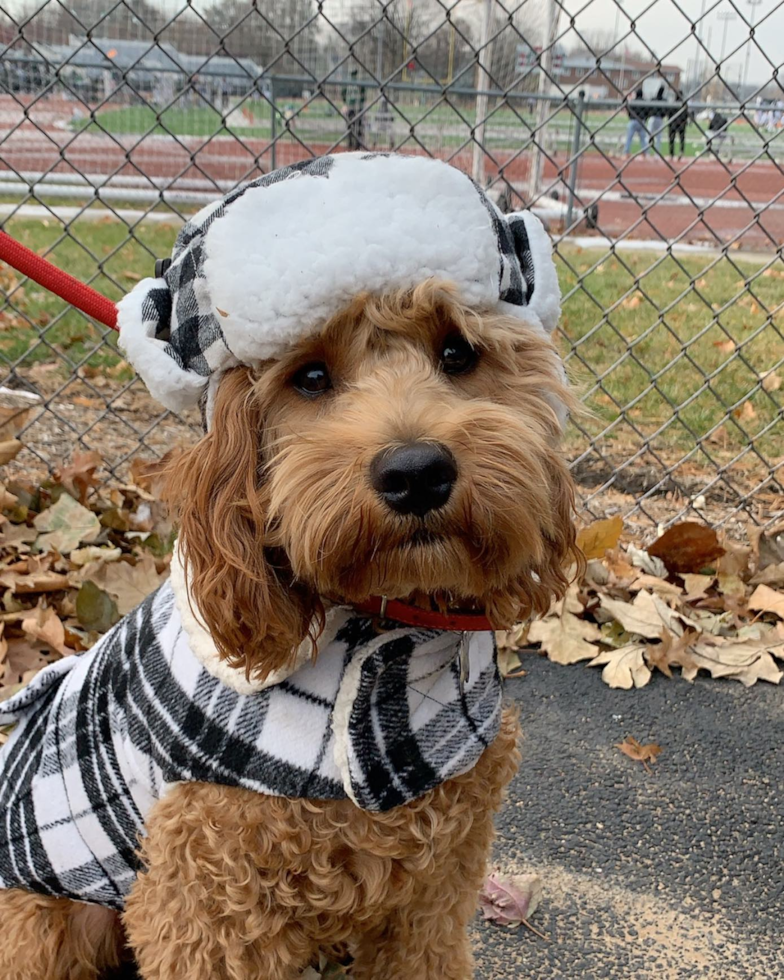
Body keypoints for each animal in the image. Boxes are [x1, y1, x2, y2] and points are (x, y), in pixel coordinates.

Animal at [0, 153, 576, 980]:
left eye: (458, 354)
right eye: (309, 378)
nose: (416, 472)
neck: (381, 627)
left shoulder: (435, 893)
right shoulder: (205, 907)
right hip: (50, 917)